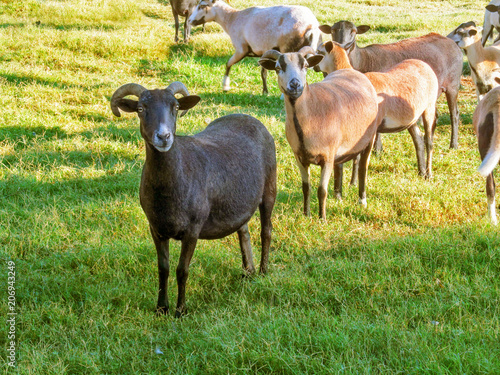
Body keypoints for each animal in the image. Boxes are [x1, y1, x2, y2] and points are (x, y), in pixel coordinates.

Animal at [188, 0, 320, 93]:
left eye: (202, 6)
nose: (189, 20)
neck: (231, 19)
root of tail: (311, 25)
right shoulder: (264, 52)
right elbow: (263, 72)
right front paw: (265, 91)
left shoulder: (241, 49)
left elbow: (228, 64)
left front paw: (225, 86)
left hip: (288, 48)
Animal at [258, 46, 378, 220]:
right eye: (278, 68)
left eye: (305, 66)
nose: (295, 84)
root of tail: (349, 69)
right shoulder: (300, 156)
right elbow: (306, 187)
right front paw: (306, 215)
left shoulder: (327, 156)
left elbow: (322, 190)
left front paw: (322, 218)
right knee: (345, 164)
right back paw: (340, 194)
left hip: (370, 136)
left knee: (363, 167)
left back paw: (362, 200)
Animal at [318, 41, 440, 182]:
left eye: (320, 52)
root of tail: (425, 65)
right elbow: (356, 156)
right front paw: (353, 182)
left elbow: (363, 159)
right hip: (411, 118)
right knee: (418, 140)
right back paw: (421, 172)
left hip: (429, 106)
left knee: (429, 141)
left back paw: (429, 174)